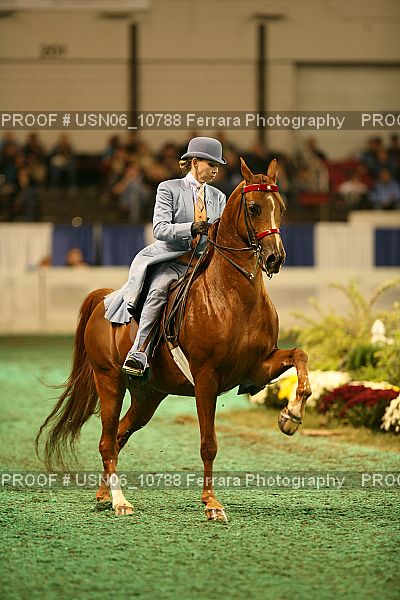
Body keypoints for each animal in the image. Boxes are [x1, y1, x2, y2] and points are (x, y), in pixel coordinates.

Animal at [36, 158, 311, 522]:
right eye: (253, 208)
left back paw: (103, 494)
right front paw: (212, 504)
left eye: (280, 207)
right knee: (107, 441)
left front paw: (290, 417)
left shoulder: (258, 366)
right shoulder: (207, 378)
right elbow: (208, 443)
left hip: (148, 396)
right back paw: (120, 501)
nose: (274, 258)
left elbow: (300, 357)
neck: (234, 297)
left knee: (119, 435)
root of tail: (104, 299)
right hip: (109, 382)